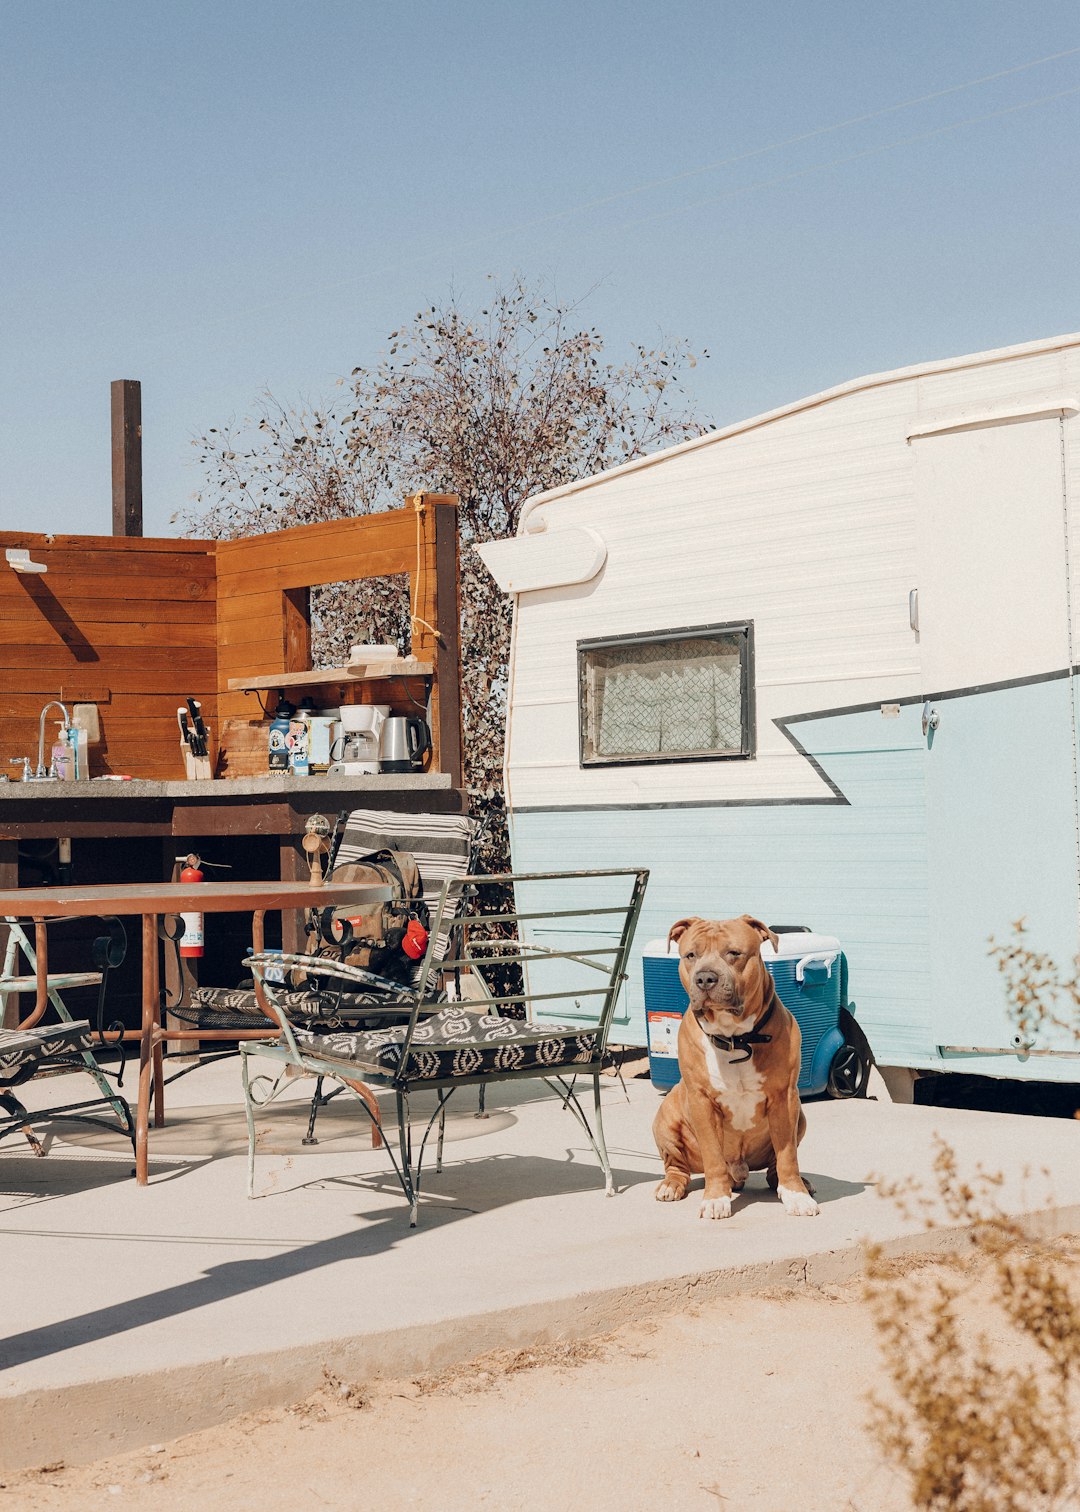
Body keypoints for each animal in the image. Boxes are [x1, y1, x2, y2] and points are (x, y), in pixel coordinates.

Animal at [647, 913, 816, 1221]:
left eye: (734, 953)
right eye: (690, 955)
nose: (705, 978)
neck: (735, 1037)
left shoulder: (785, 1098)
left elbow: (787, 1155)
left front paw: (796, 1195)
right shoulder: (701, 1101)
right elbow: (713, 1156)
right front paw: (716, 1199)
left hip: (801, 1117)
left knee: (775, 1166)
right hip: (665, 1120)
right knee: (677, 1166)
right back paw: (671, 1185)